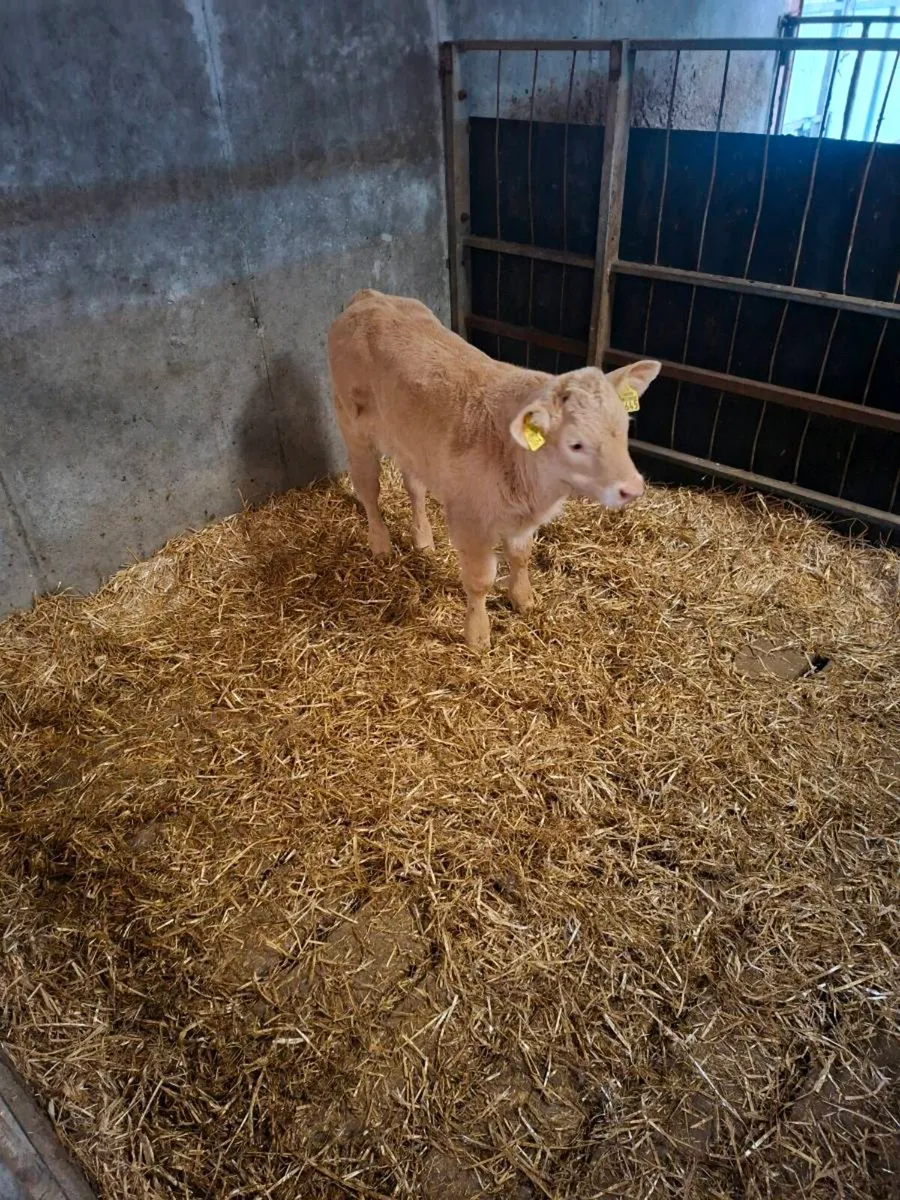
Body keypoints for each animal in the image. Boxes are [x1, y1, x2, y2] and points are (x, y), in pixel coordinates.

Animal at [327, 289, 660, 652]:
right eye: (575, 444)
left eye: (625, 427)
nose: (632, 488)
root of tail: (369, 297)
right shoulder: (470, 521)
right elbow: (480, 581)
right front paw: (477, 635)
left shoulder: (521, 521)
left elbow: (521, 556)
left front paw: (524, 599)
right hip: (353, 427)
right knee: (369, 490)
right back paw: (381, 545)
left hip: (411, 442)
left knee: (414, 487)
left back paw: (423, 539)